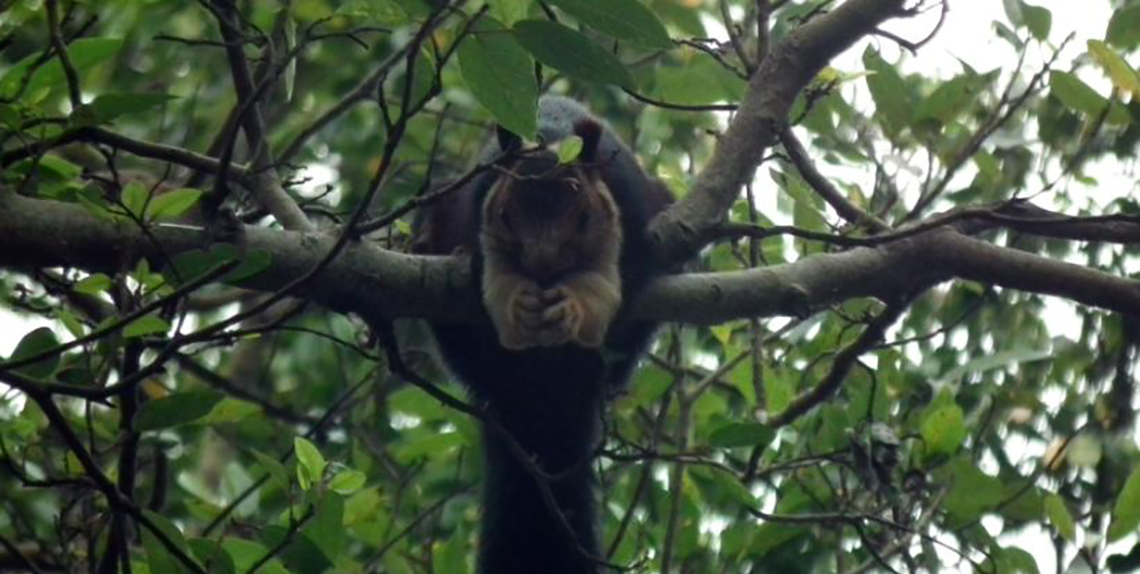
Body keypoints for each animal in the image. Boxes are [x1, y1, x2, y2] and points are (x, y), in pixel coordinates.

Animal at [414, 96, 670, 571]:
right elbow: (486, 272)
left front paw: (575, 304)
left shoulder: (635, 213)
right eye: (505, 215)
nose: (542, 262)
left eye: (584, 215)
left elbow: (619, 283)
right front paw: (515, 299)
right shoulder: (480, 205)